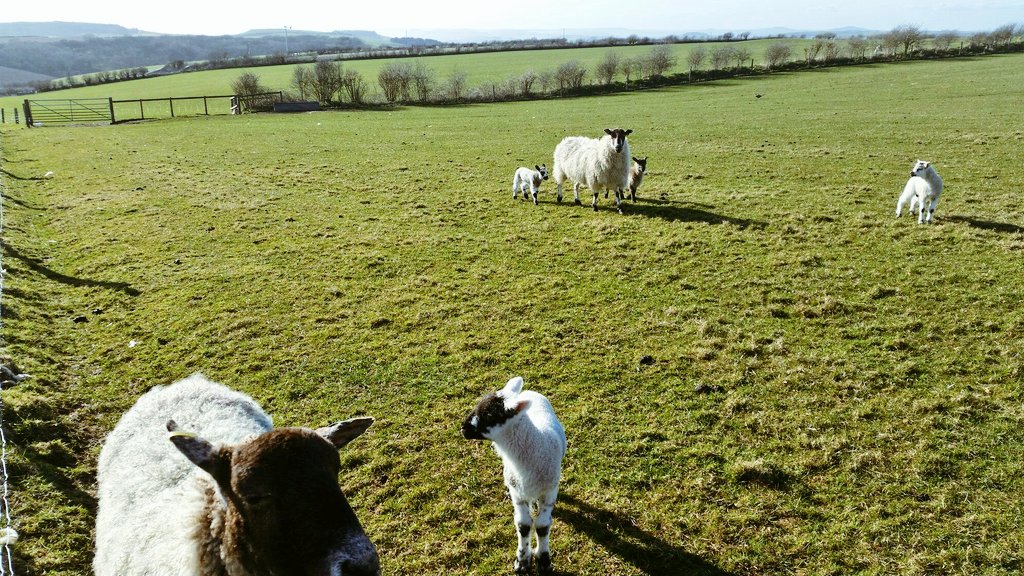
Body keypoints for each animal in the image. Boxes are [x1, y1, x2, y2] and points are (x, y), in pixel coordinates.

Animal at [462, 376, 567, 575]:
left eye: (489, 415)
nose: (463, 428)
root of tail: (524, 392)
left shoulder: (549, 490)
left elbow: (542, 525)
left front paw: (544, 560)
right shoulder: (518, 492)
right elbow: (523, 525)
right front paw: (522, 561)